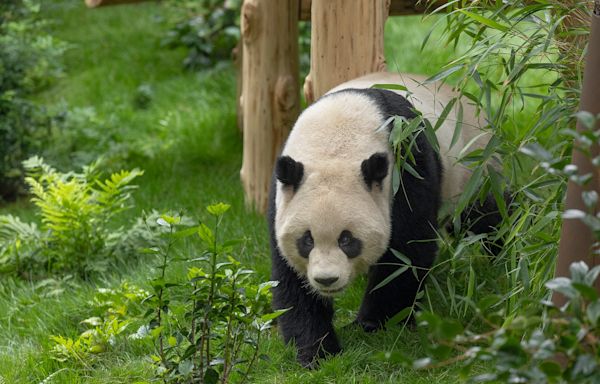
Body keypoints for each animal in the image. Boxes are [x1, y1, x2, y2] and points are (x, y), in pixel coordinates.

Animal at [270, 70, 494, 368]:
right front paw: (316, 351)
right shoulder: (283, 194)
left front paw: (375, 324)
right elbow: (291, 279)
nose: (327, 280)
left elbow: (406, 252)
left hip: (471, 169)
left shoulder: (406, 162)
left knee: (486, 215)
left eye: (347, 240)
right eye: (307, 241)